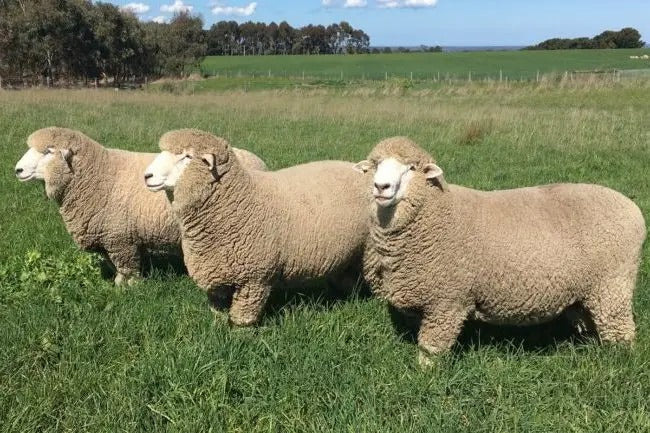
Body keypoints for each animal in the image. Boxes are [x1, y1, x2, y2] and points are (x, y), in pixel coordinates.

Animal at [16, 126, 268, 286]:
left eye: (48, 151)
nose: (17, 170)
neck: (100, 174)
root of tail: (259, 162)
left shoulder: (120, 239)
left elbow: (127, 266)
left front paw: (128, 288)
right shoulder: (110, 236)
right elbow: (116, 264)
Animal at [144, 130, 368, 326]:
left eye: (187, 157)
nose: (147, 176)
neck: (240, 200)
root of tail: (357, 170)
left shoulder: (254, 278)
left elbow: (243, 317)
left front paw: (241, 336)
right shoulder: (215, 271)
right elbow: (217, 308)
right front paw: (217, 326)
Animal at [354, 136, 644, 364]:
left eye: (411, 168)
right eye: (375, 165)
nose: (381, 187)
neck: (438, 215)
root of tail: (632, 208)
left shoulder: (447, 300)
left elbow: (431, 348)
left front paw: (425, 377)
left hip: (612, 284)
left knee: (620, 331)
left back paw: (619, 363)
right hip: (588, 289)